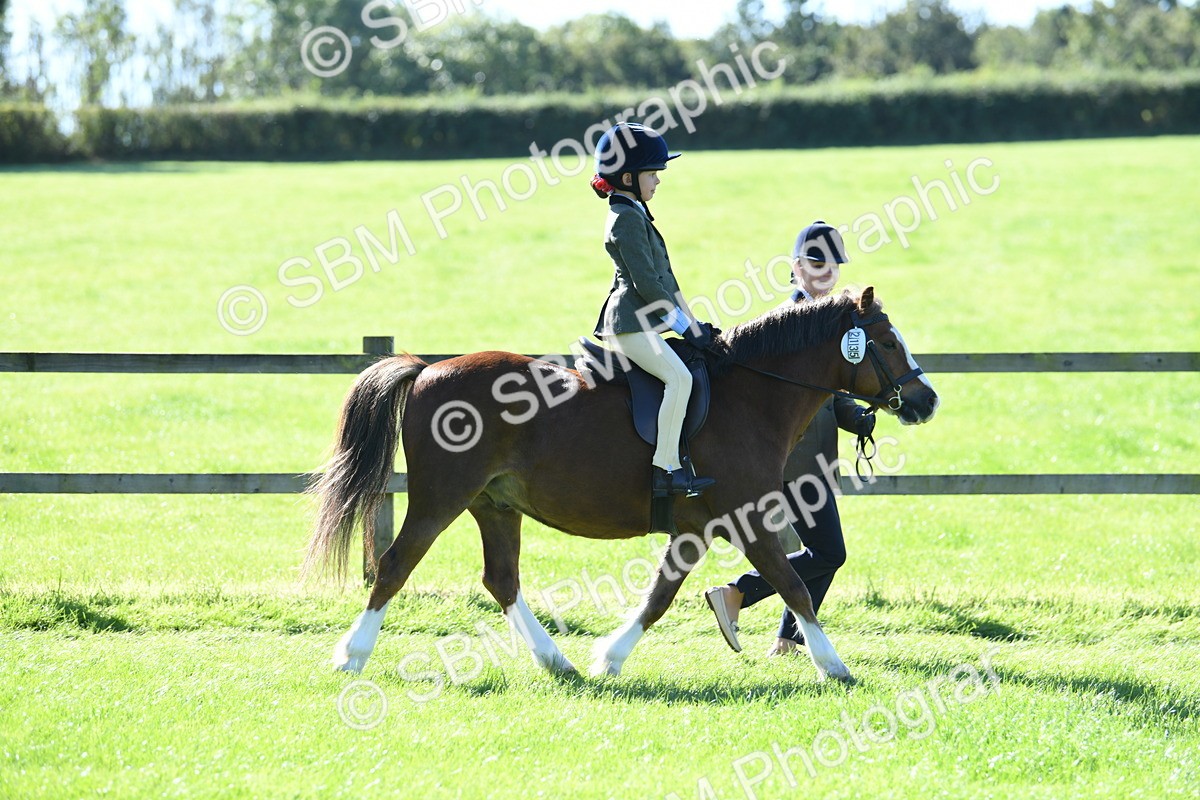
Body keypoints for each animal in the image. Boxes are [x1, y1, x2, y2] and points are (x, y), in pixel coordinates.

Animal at [305, 286, 939, 683]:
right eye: (886, 341)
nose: (926, 400)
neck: (749, 395)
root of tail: (426, 369)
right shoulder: (749, 517)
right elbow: (795, 586)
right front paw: (835, 666)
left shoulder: (696, 528)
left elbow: (660, 595)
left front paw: (609, 658)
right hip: (442, 498)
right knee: (395, 565)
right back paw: (351, 657)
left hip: (495, 504)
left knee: (501, 579)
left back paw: (556, 662)